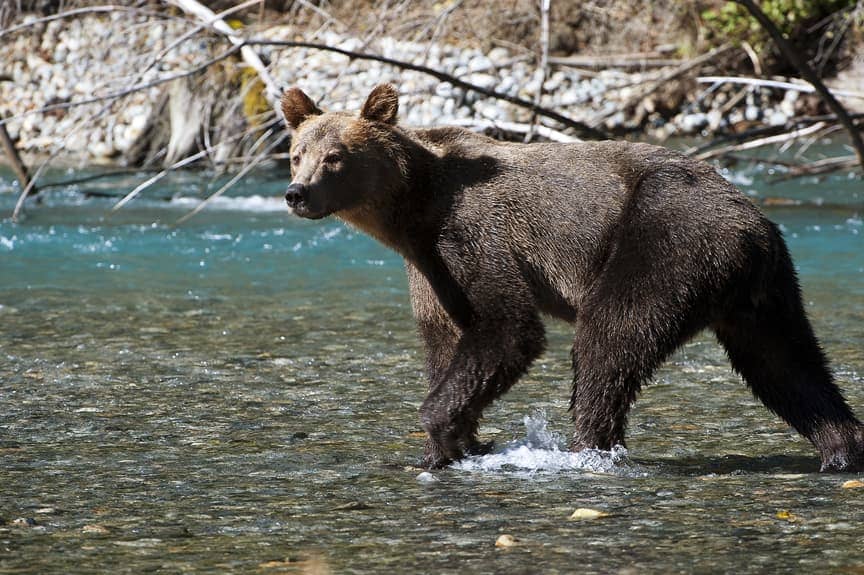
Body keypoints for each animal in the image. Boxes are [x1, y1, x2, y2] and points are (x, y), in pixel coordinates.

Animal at [282, 84, 864, 472]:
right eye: (297, 153)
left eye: (335, 157)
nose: (295, 192)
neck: (413, 209)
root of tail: (753, 226)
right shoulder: (428, 265)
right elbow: (444, 341)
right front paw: (451, 444)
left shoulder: (472, 231)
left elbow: (507, 326)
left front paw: (443, 433)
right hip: (764, 293)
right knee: (787, 365)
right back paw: (841, 448)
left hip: (666, 239)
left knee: (610, 337)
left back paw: (586, 448)